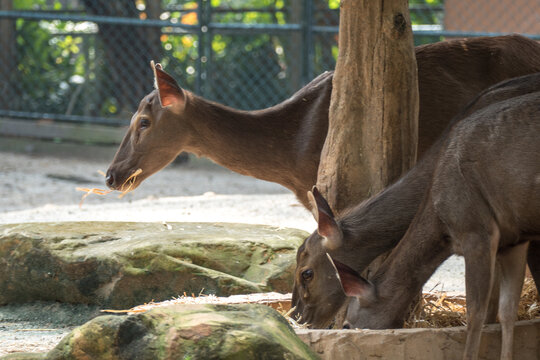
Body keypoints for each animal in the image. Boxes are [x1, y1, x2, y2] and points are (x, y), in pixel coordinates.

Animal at [316, 71, 540, 358]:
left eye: (346, 324)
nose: (340, 327)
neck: (442, 228)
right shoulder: (514, 241)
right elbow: (507, 312)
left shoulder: (476, 230)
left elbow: (475, 314)